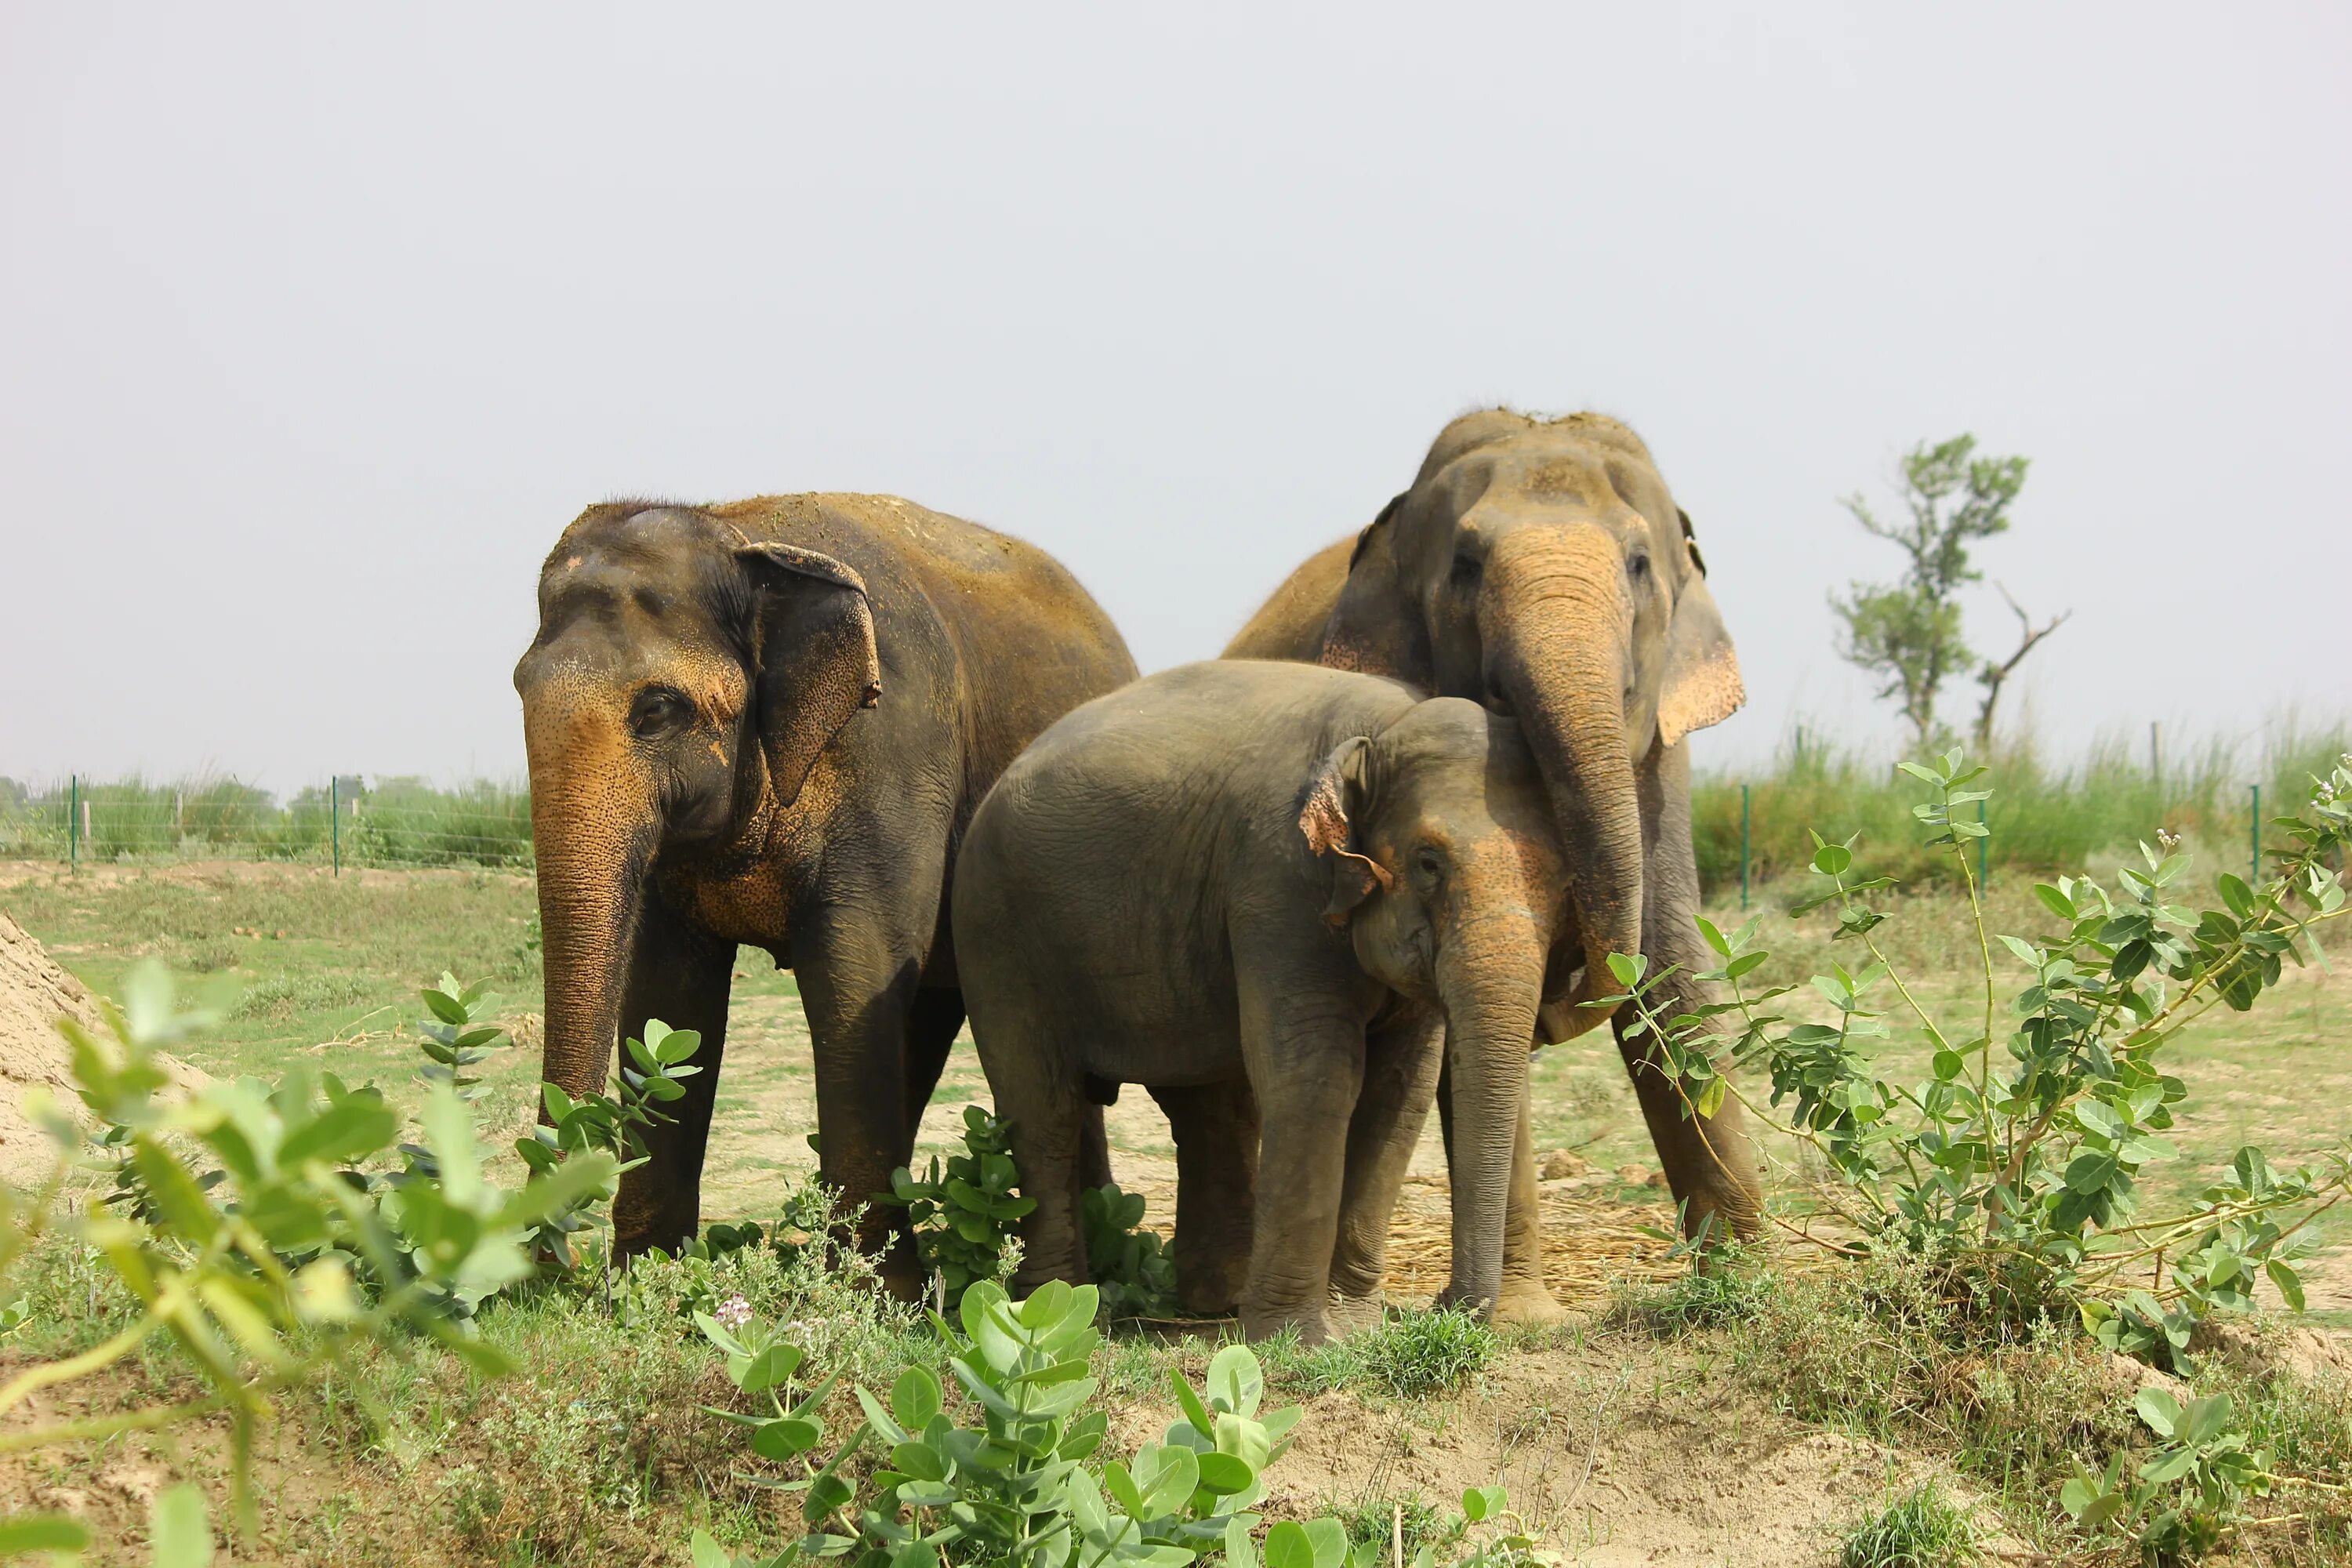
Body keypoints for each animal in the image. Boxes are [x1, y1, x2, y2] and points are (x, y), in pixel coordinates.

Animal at [517, 491, 1138, 1288]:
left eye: (657, 710)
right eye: (519, 689)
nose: (544, 1271)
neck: (743, 535)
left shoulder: (894, 755)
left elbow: (854, 972)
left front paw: (881, 1295)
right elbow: (667, 992)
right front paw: (646, 1279)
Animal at [950, 658, 1581, 1345]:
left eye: (1563, 881)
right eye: (1428, 862)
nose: (1453, 1310)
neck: (1383, 726)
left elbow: (1399, 1092)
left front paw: (1353, 1327)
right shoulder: (1278, 880)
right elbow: (1316, 1075)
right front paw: (1298, 1340)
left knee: (1207, 1109)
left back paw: (1212, 1302)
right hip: (995, 936)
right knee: (1042, 1110)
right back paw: (1054, 1310)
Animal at [1232, 404, 1769, 1316]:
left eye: (1639, 564)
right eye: (1466, 565)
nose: (1567, 991)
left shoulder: (1662, 761)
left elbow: (1671, 965)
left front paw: (1758, 1279)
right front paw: (1516, 1318)